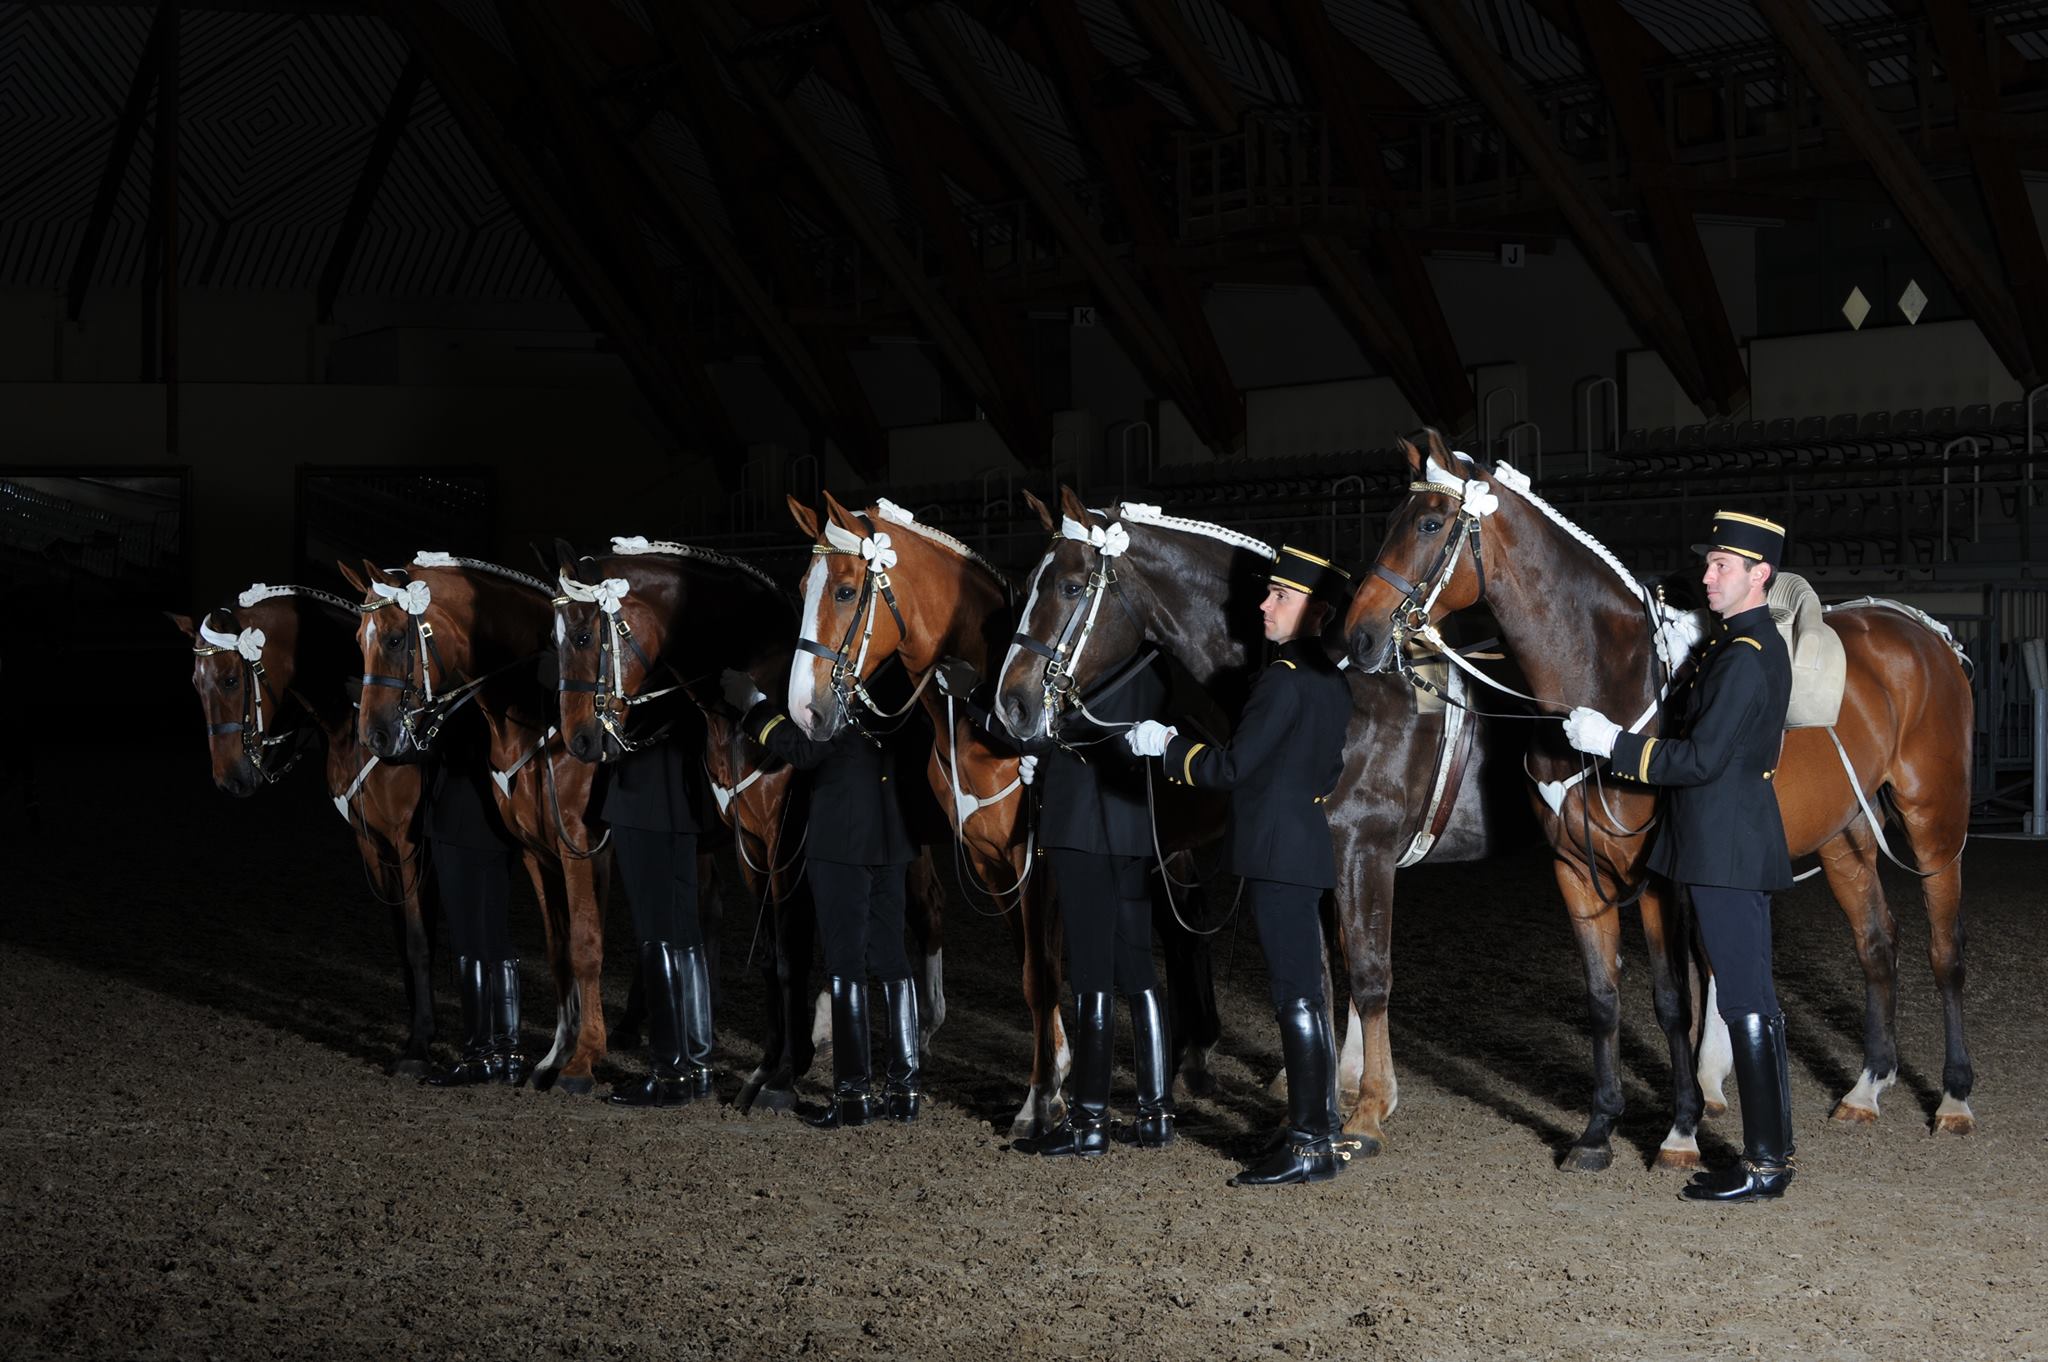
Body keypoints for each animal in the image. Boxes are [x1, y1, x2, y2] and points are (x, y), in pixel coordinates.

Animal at [171, 585, 436, 1073]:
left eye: (231, 681)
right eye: (196, 684)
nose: (230, 780)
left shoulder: (411, 847)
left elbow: (418, 940)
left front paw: (420, 1045)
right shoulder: (376, 846)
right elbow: (404, 942)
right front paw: (421, 1031)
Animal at [331, 552, 606, 1097]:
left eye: (395, 639)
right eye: (358, 640)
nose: (373, 735)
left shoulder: (577, 847)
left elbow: (585, 944)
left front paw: (583, 1062)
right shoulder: (537, 851)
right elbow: (558, 948)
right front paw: (554, 1058)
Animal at [786, 493, 1073, 1130]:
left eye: (845, 592)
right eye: (801, 589)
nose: (804, 711)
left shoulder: (1034, 861)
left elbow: (1040, 971)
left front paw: (1042, 1096)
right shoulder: (989, 859)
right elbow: (1027, 965)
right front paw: (1055, 1075)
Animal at [991, 483, 1523, 1155]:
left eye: (1066, 585)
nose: (1011, 704)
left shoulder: (1362, 852)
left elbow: (1368, 974)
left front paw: (1369, 1111)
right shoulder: (1317, 865)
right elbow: (1319, 979)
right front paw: (1320, 1107)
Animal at [1335, 428, 1974, 1171]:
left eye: (1431, 524)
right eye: (1389, 521)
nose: (1359, 637)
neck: (1604, 678)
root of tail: (1922, 628)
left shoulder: (1658, 879)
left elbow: (1673, 1000)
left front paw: (1682, 1130)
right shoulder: (1576, 871)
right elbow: (1604, 998)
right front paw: (1597, 1130)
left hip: (1935, 819)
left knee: (1943, 950)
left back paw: (1954, 1098)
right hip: (1843, 834)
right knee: (1876, 942)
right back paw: (1867, 1088)